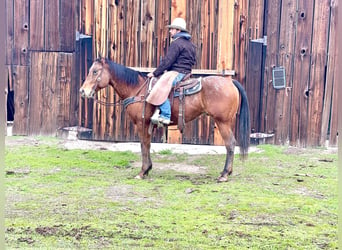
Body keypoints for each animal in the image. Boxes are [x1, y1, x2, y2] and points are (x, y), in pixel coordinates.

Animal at [80, 58, 251, 182]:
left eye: (95, 71)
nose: (83, 91)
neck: (137, 89)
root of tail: (230, 82)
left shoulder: (142, 123)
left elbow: (144, 145)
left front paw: (142, 171)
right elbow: (147, 145)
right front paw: (147, 169)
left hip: (222, 122)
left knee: (230, 144)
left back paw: (224, 174)